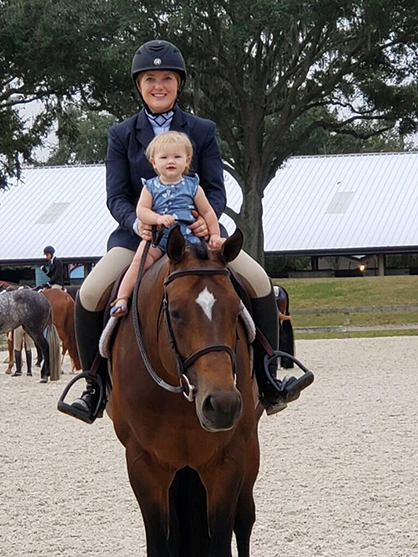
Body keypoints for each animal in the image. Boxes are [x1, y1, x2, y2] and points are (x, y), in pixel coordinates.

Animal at [110, 228, 261, 557]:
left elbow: (221, 540)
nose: (223, 405)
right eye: (176, 313)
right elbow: (159, 542)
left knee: (244, 521)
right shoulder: (144, 465)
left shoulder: (227, 461)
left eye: (236, 310)